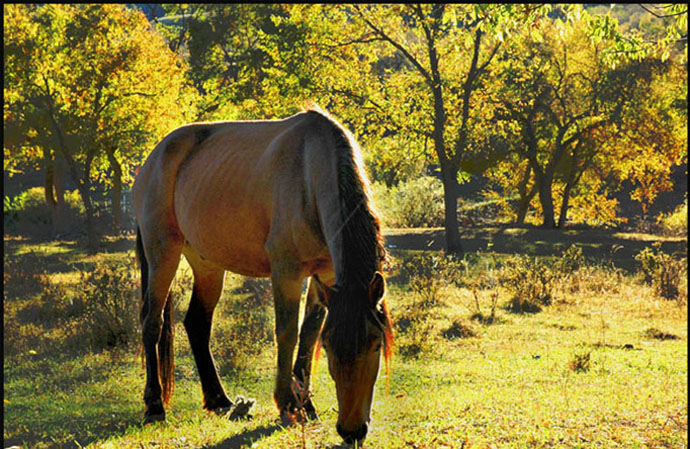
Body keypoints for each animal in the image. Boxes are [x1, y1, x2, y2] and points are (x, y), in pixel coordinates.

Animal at [132, 105, 392, 444]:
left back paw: (219, 400)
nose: (352, 431)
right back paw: (154, 406)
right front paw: (287, 403)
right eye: (331, 347)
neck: (310, 174)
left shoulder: (326, 276)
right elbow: (287, 333)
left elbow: (308, 332)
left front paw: (306, 404)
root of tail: (154, 157)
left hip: (207, 263)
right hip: (162, 252)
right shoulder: (286, 272)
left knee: (197, 324)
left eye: (376, 344)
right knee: (152, 321)